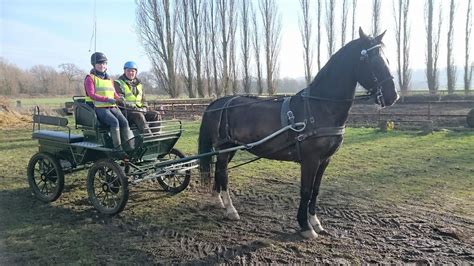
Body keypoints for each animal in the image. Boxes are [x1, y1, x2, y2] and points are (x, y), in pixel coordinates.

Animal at [198, 28, 398, 239]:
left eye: (386, 58)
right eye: (370, 60)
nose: (392, 95)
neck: (320, 106)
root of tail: (218, 102)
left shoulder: (324, 160)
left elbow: (316, 190)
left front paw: (315, 222)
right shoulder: (310, 159)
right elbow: (306, 190)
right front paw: (305, 226)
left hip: (230, 149)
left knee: (219, 172)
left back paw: (219, 201)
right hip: (224, 148)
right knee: (223, 173)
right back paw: (230, 209)